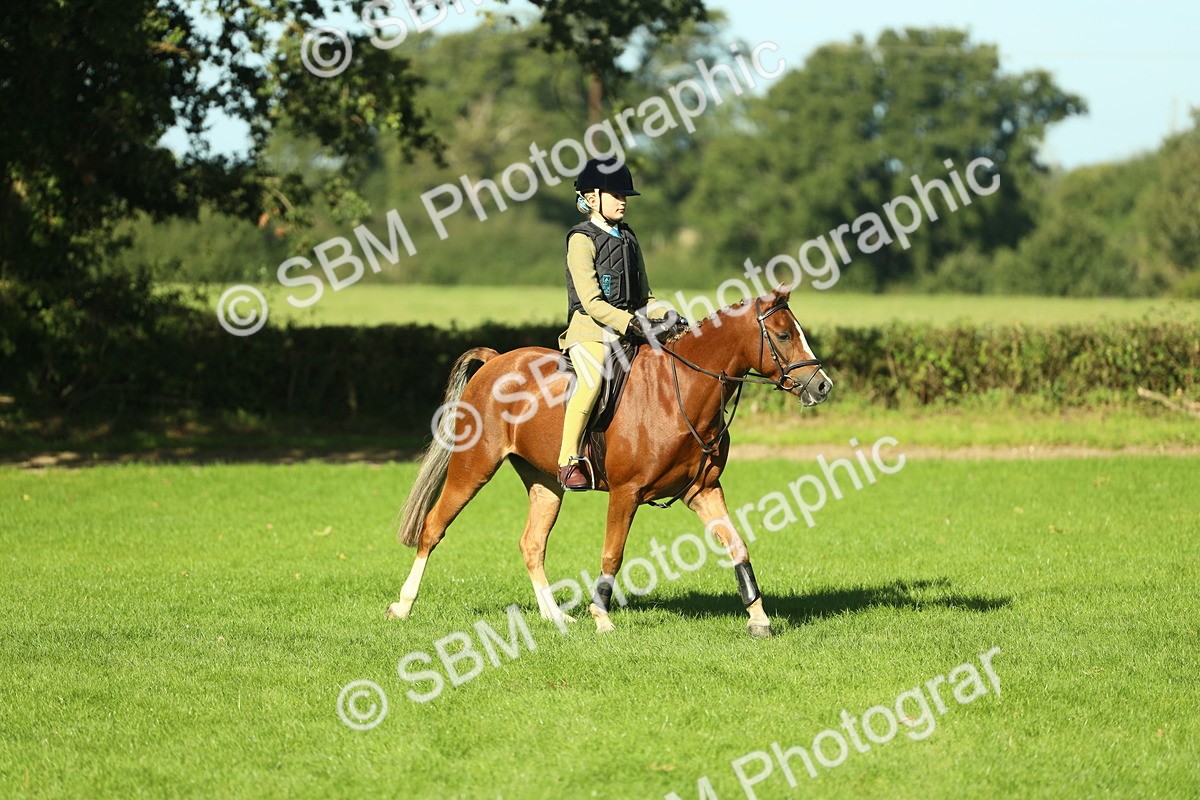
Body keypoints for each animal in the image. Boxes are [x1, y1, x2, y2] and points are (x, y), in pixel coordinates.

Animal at [386, 287, 831, 637]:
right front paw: (601, 617)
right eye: (783, 334)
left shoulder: (703, 490)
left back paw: (556, 619)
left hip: (546, 482)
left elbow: (737, 546)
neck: (680, 393)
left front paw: (758, 618)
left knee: (532, 544)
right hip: (473, 468)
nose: (822, 386)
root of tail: (496, 360)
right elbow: (612, 554)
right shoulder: (625, 493)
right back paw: (403, 606)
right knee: (433, 528)